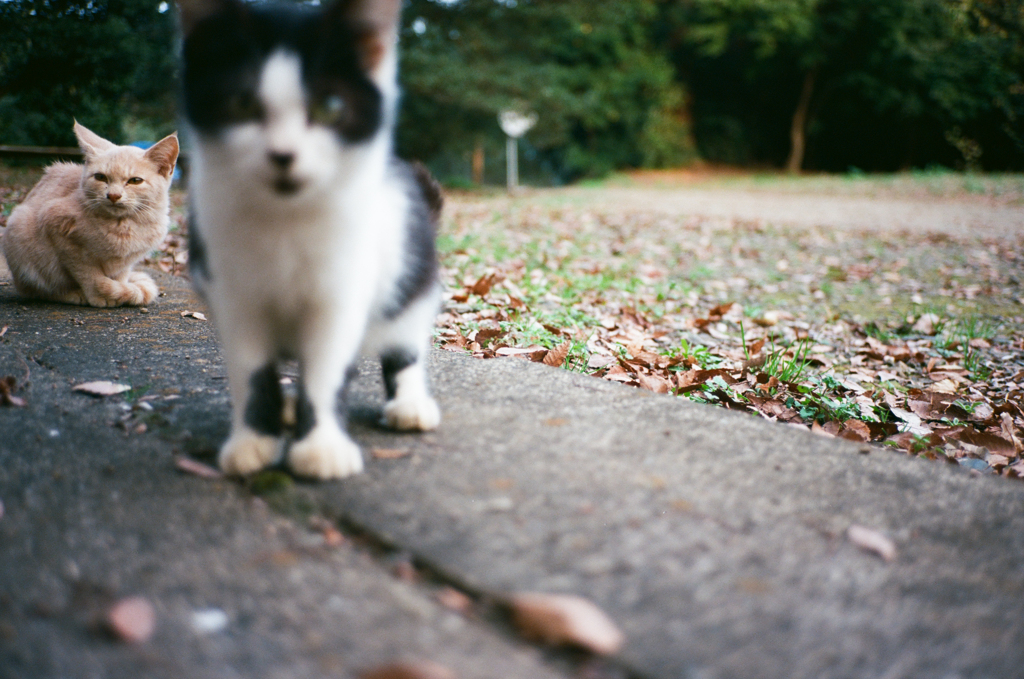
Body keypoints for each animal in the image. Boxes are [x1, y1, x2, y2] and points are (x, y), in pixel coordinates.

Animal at [2, 122, 180, 307]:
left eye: (135, 181)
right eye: (100, 177)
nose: (113, 195)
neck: (122, 225)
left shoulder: (125, 263)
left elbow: (120, 277)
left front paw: (120, 291)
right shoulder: (61, 235)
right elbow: (87, 273)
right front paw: (100, 294)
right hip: (19, 232)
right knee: (36, 289)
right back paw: (70, 294)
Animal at [177, 0, 440, 481]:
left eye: (330, 107)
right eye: (241, 102)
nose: (283, 154)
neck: (286, 221)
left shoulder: (343, 293)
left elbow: (326, 369)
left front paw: (320, 447)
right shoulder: (232, 291)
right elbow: (250, 368)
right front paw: (253, 441)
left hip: (412, 275)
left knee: (405, 342)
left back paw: (409, 404)